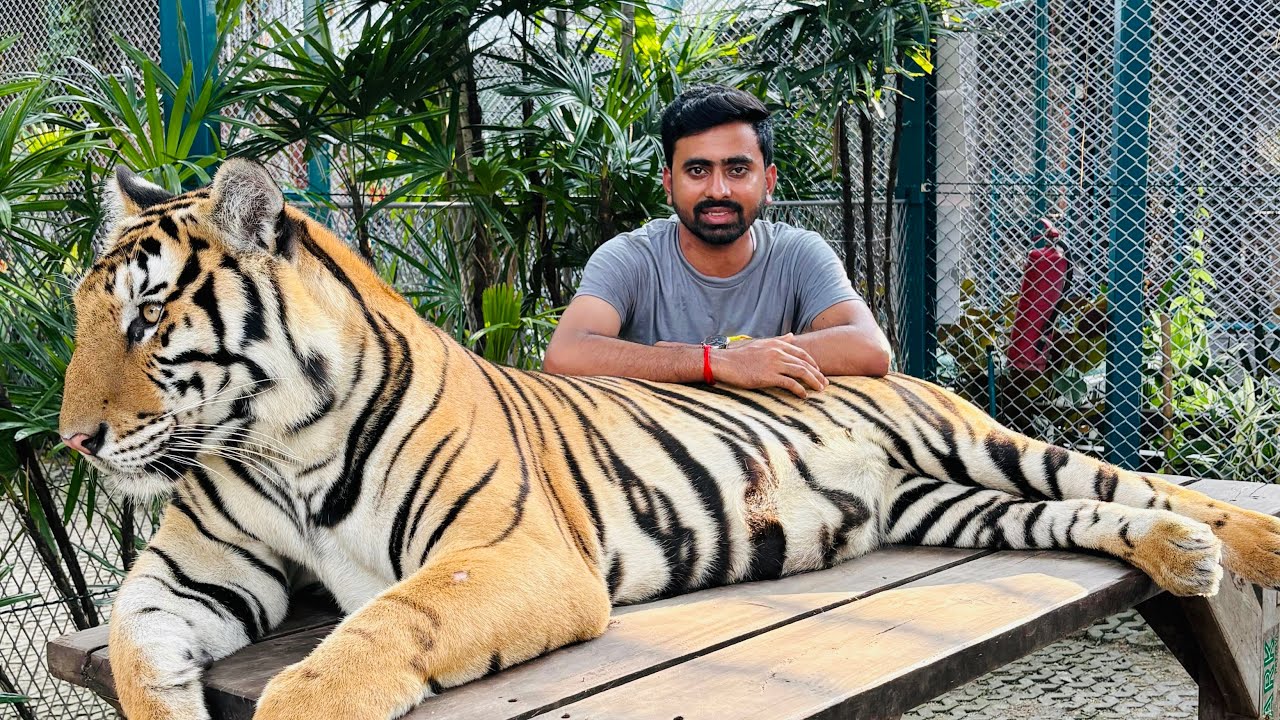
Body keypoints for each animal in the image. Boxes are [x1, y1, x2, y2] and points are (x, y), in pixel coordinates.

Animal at [58, 159, 1280, 720]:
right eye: (80, 313)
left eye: (148, 318)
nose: (71, 442)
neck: (272, 441)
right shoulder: (191, 576)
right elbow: (134, 647)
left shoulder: (510, 552)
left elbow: (378, 629)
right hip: (949, 507)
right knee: (1083, 512)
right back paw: (1178, 557)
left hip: (986, 449)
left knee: (1140, 480)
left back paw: (1238, 541)